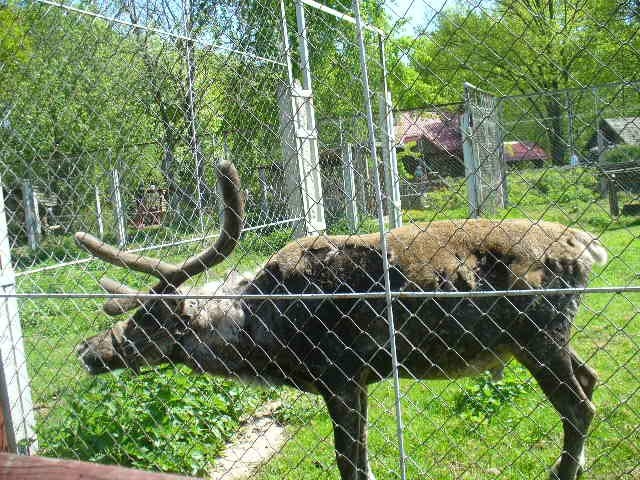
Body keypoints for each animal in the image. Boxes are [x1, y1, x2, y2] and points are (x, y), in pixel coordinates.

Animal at [74, 161, 604, 480]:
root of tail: (586, 244)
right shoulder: (361, 382)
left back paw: (563, 471)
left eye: (151, 322)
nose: (88, 350)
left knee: (578, 406)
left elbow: (348, 463)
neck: (263, 329)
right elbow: (360, 462)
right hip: (547, 340)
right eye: (134, 313)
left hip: (539, 338)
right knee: (590, 378)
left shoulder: (341, 378)